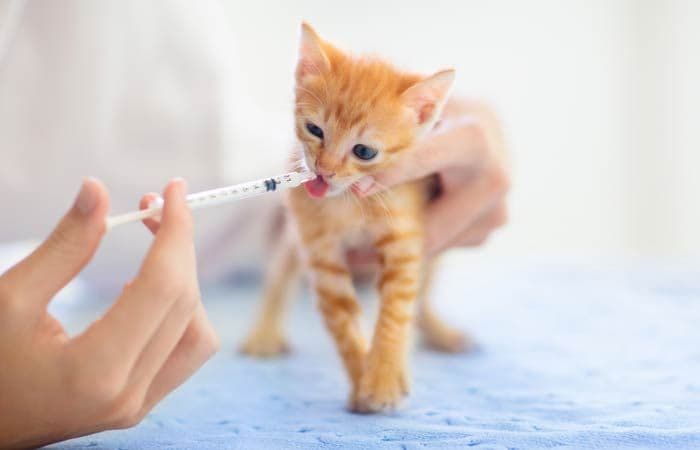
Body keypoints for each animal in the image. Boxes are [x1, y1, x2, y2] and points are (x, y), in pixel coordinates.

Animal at [242, 22, 470, 414]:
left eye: (364, 151)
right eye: (315, 130)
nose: (324, 171)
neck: (348, 202)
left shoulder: (405, 236)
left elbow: (397, 308)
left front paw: (382, 378)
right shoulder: (318, 250)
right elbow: (343, 318)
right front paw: (363, 379)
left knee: (422, 297)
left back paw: (437, 333)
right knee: (278, 277)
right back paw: (264, 333)